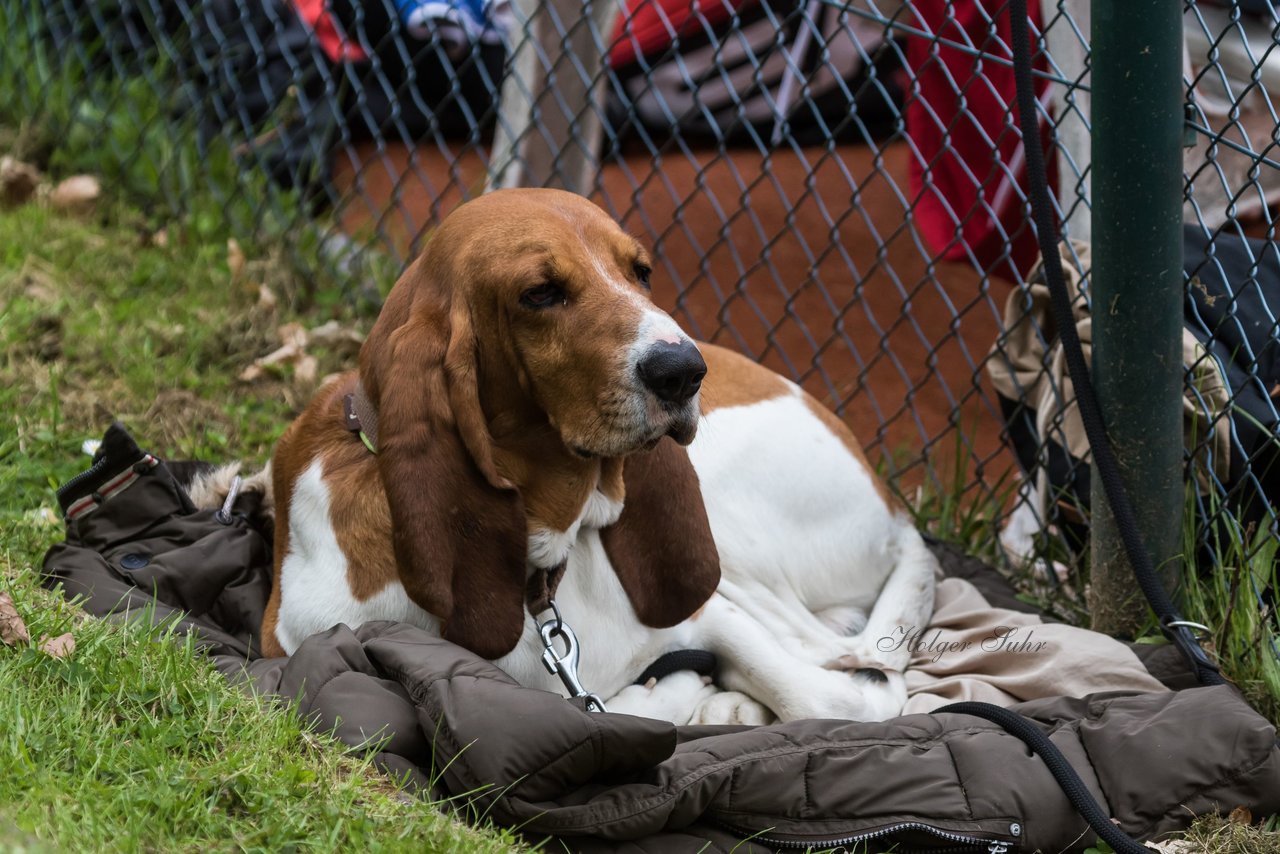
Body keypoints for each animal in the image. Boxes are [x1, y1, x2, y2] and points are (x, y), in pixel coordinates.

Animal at [262, 190, 942, 727]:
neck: (544, 574)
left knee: (823, 644)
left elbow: (831, 698)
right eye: (540, 294)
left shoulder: (715, 613)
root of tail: (892, 504)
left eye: (641, 271)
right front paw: (680, 693)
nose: (685, 371)